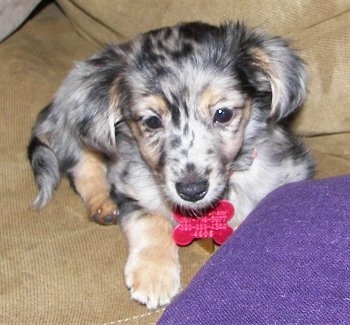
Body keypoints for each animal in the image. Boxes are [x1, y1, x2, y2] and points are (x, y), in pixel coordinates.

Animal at [27, 22, 314, 308]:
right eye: (153, 121)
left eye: (223, 114)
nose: (192, 190)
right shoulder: (129, 187)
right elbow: (151, 218)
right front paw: (155, 274)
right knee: (84, 168)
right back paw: (102, 204)